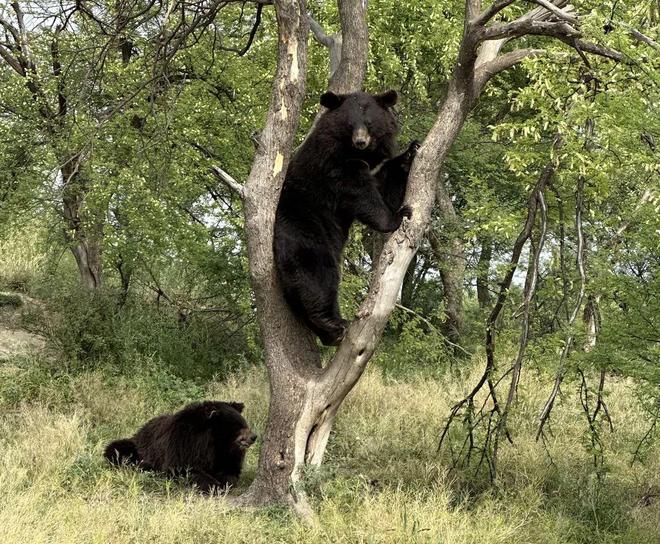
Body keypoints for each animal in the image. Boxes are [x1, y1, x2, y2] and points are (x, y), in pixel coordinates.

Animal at [104, 400, 256, 492]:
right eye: (238, 426)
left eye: (244, 423)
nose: (254, 437)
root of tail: (141, 429)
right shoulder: (183, 446)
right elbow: (183, 469)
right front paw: (214, 484)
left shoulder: (226, 455)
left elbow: (230, 471)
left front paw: (224, 481)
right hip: (137, 448)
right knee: (116, 449)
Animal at [274, 88, 418, 344]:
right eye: (350, 124)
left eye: (369, 123)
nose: (360, 141)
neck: (360, 155)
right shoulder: (333, 165)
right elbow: (360, 194)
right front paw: (398, 216)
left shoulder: (374, 166)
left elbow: (386, 183)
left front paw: (410, 153)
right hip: (304, 226)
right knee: (316, 273)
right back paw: (333, 324)